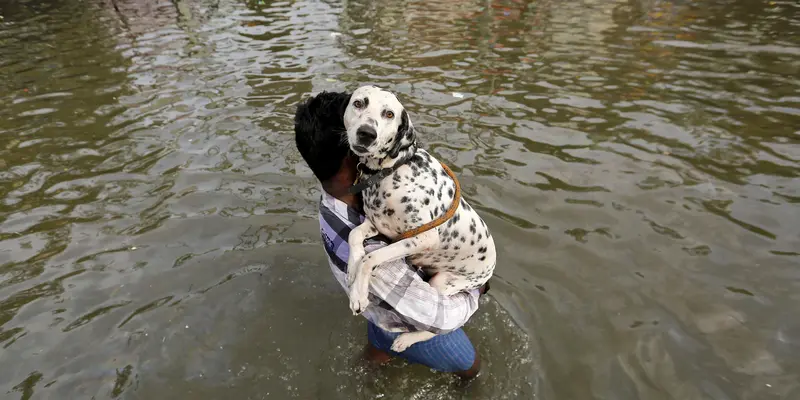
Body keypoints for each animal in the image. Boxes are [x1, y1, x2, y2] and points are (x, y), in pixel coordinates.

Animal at [346, 86, 496, 352]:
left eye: (389, 114)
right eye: (359, 103)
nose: (366, 133)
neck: (392, 170)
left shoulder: (422, 238)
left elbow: (370, 258)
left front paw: (358, 296)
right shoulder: (375, 225)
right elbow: (354, 237)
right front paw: (351, 270)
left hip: (443, 282)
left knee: (439, 328)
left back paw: (406, 339)